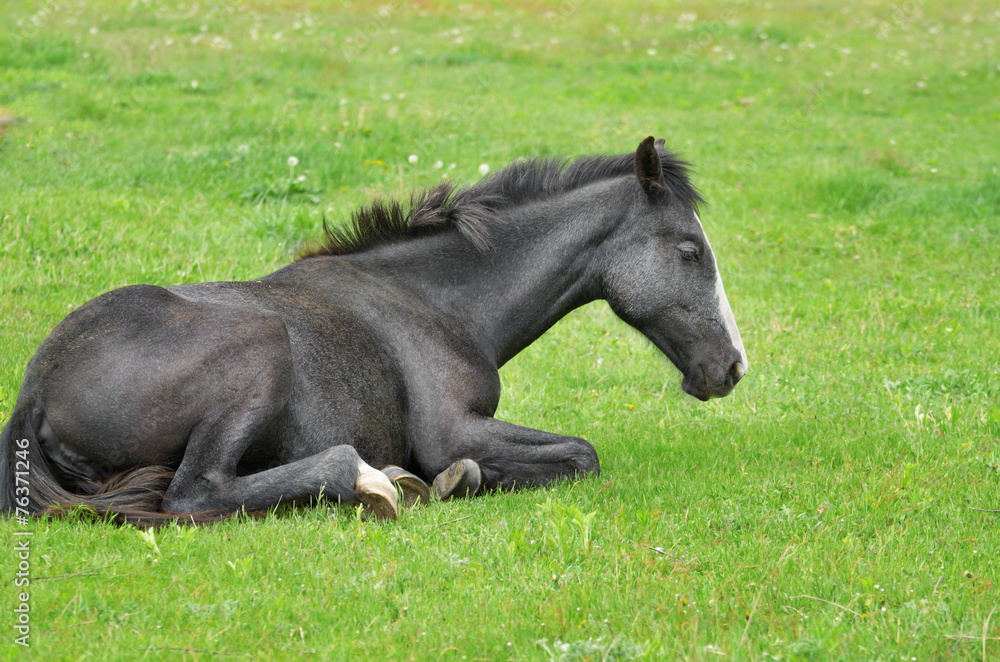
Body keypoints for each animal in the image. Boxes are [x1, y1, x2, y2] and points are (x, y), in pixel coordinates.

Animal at [1, 137, 747, 524]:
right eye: (689, 250)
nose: (733, 367)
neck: (435, 301)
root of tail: (34, 393)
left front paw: (451, 480)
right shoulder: (453, 429)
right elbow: (580, 455)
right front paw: (453, 480)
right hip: (259, 349)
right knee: (195, 495)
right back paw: (372, 482)